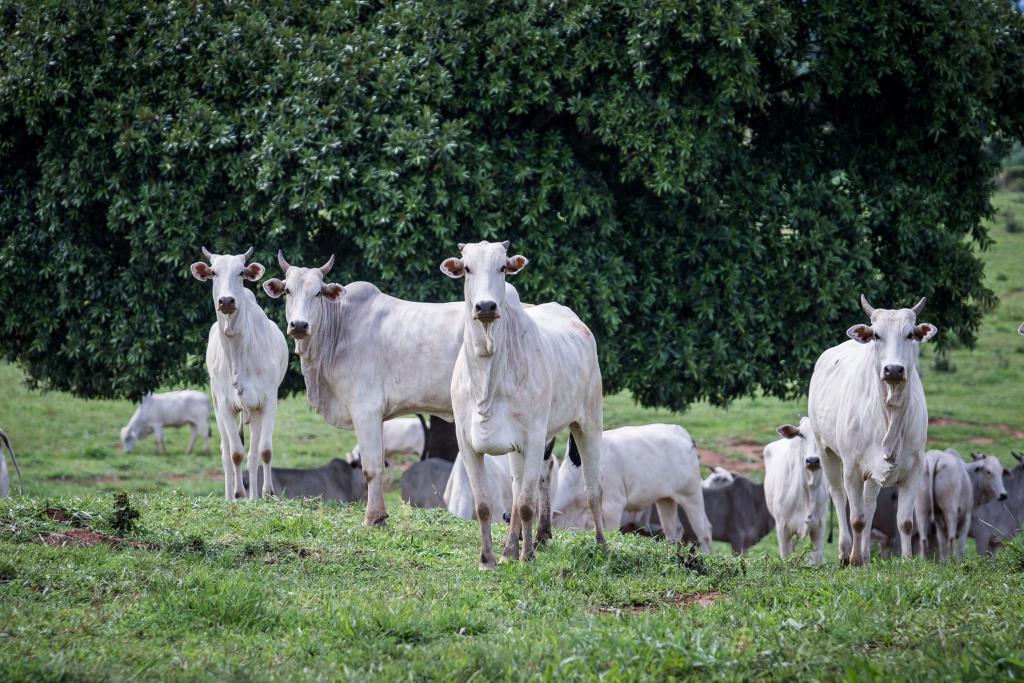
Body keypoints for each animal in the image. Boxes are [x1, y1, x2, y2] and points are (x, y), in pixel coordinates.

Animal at [190, 248, 288, 499]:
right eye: (213, 272)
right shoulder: (225, 405)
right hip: (216, 405)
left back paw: (255, 495)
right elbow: (235, 453)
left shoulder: (268, 401)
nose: (226, 301)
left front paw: (267, 492)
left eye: (241, 272)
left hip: (253, 411)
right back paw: (230, 496)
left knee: (253, 455)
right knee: (226, 451)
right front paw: (238, 494)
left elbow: (264, 451)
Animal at [442, 237, 606, 569]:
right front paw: (488, 559)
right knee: (518, 491)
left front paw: (528, 557)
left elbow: (528, 504)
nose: (486, 306)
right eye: (467, 268)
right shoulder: (467, 443)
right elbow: (484, 505)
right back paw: (509, 549)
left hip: (588, 422)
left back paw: (601, 546)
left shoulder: (533, 437)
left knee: (592, 489)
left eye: (502, 267)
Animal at [552, 423, 712, 552]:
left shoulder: (613, 506)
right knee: (673, 530)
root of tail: (682, 432)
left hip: (691, 494)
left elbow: (610, 531)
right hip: (665, 499)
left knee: (703, 529)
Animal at [806, 294, 937, 565]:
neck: (890, 413)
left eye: (910, 334)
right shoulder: (852, 468)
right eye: (876, 334)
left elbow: (905, 522)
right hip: (826, 451)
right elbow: (856, 518)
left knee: (869, 503)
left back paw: (865, 553)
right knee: (838, 496)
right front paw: (854, 560)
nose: (894, 369)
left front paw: (906, 560)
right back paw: (846, 552)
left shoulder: (915, 469)